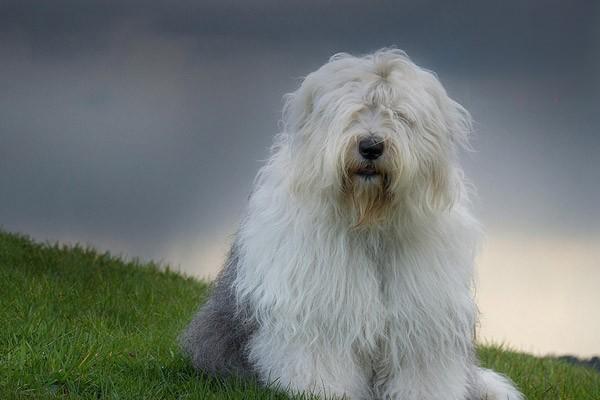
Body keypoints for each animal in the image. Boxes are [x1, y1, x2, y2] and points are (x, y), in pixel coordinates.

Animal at [180, 47, 524, 400]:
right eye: (351, 111)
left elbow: (421, 367)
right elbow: (321, 356)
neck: (368, 220)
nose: (371, 146)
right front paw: (320, 391)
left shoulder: (421, 315)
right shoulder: (319, 306)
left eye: (400, 115)